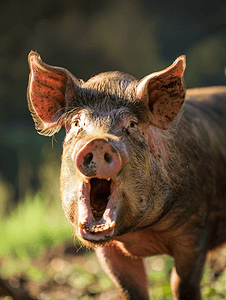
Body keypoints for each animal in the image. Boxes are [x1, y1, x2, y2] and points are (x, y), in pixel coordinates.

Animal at [26, 50, 226, 298]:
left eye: (131, 124)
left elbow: (182, 283)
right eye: (77, 122)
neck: (143, 233)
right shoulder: (110, 251)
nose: (99, 142)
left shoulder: (195, 229)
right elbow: (130, 289)